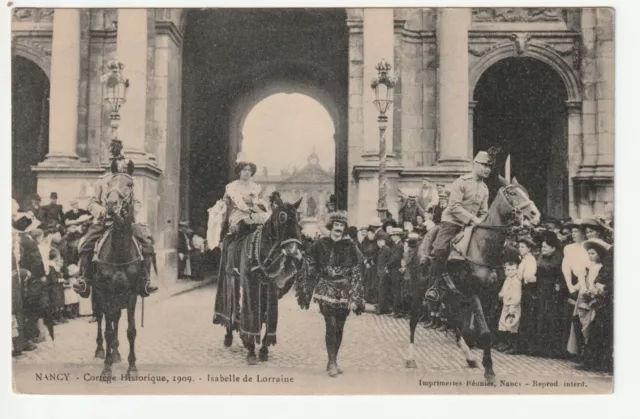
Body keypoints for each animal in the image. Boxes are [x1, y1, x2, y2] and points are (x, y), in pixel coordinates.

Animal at [92, 164, 151, 380]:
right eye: (109, 184)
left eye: (130, 184)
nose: (111, 204)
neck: (119, 251)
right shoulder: (105, 292)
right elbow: (108, 330)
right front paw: (106, 368)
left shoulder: (131, 293)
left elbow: (131, 330)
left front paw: (131, 367)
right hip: (98, 295)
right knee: (102, 319)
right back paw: (102, 350)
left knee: (115, 318)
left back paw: (116, 352)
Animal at [214, 193, 304, 364]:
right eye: (282, 217)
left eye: (298, 218)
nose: (293, 250)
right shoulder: (251, 285)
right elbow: (251, 316)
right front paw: (250, 350)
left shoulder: (270, 287)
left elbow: (267, 318)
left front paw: (263, 349)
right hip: (229, 279)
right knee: (230, 308)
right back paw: (229, 335)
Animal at [404, 177, 540, 384]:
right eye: (512, 193)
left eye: (525, 191)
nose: (535, 214)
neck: (484, 247)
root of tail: (419, 243)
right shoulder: (475, 294)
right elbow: (483, 332)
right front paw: (489, 370)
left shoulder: (491, 295)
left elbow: (481, 330)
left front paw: (486, 364)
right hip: (419, 290)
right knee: (413, 321)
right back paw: (411, 358)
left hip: (450, 294)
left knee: (453, 321)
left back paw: (469, 357)